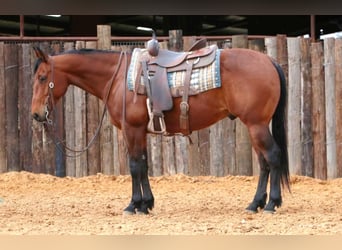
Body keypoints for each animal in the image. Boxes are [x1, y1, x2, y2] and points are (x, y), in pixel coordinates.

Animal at [31, 44, 288, 214]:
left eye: (42, 77)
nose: (36, 114)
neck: (118, 77)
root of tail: (269, 61)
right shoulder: (140, 132)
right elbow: (144, 165)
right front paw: (147, 203)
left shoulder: (132, 129)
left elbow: (135, 166)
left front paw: (133, 205)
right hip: (255, 126)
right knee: (264, 163)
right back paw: (255, 203)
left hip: (256, 125)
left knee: (273, 156)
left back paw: (271, 203)